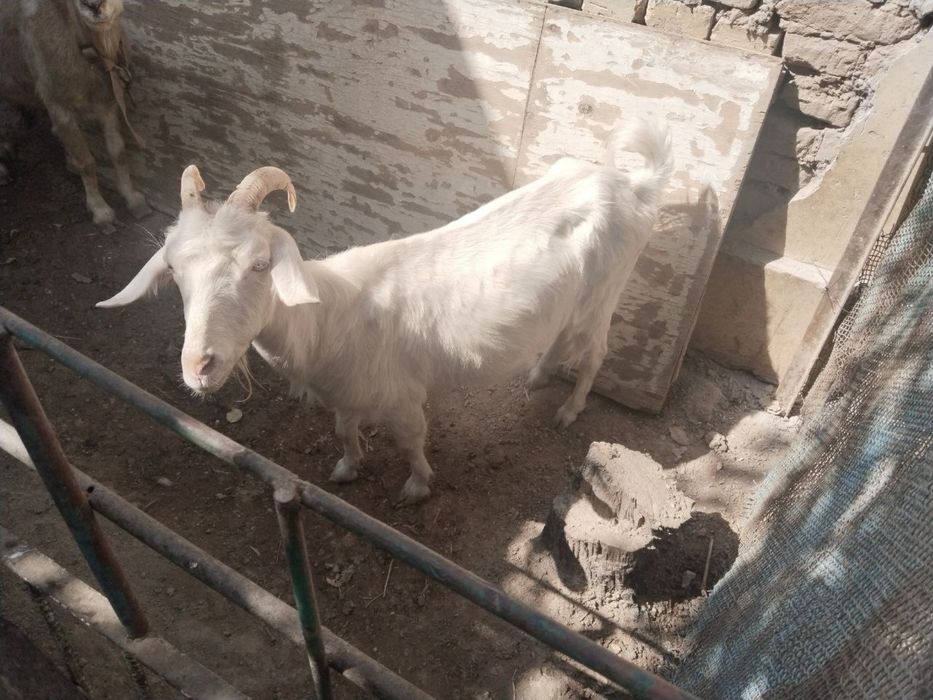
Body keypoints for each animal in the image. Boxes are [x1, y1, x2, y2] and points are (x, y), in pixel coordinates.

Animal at [0, 0, 149, 225]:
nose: (94, 6)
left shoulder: (108, 106)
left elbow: (118, 153)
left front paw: (132, 198)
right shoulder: (59, 111)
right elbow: (86, 162)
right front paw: (101, 211)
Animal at [98, 120, 673, 505]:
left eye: (260, 265)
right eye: (174, 271)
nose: (200, 367)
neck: (328, 319)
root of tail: (632, 185)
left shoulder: (402, 398)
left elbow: (412, 441)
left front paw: (416, 486)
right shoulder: (346, 394)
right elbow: (343, 432)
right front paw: (347, 469)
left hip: (604, 295)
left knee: (595, 353)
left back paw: (569, 409)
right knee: (557, 338)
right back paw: (537, 376)